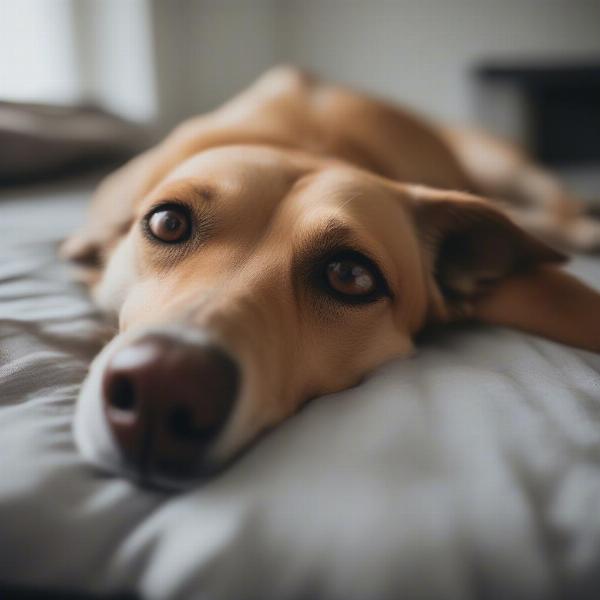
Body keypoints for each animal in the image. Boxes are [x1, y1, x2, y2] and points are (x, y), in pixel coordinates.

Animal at [62, 67, 600, 488]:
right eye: (167, 223)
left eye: (350, 275)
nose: (163, 383)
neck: (306, 146)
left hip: (507, 165)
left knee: (554, 205)